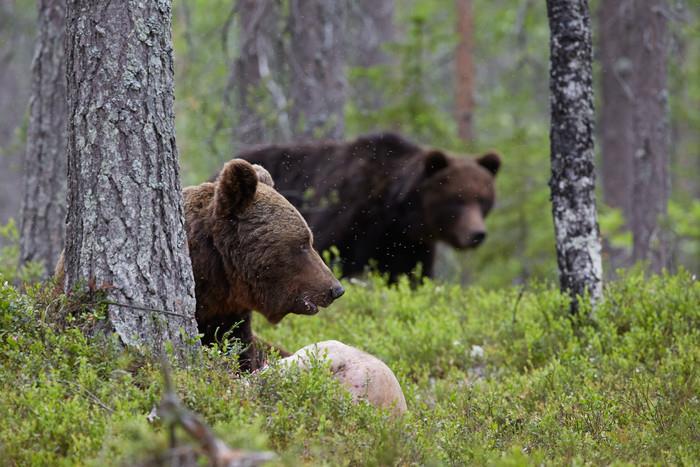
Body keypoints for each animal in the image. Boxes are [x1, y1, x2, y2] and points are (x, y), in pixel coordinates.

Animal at [238, 133, 500, 284]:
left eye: (483, 200)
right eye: (457, 199)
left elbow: (411, 277)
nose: (477, 234)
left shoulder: (408, 245)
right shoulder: (346, 215)